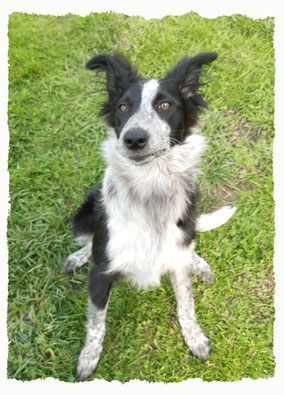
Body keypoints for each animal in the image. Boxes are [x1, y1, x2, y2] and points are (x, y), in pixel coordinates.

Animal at [62, 52, 235, 380]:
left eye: (165, 105)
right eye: (123, 107)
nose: (134, 139)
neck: (151, 187)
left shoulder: (177, 256)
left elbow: (186, 305)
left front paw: (195, 338)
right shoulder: (101, 272)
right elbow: (95, 323)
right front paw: (88, 358)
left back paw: (199, 263)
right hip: (85, 211)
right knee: (88, 238)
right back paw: (78, 256)